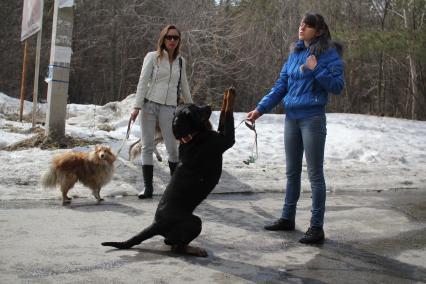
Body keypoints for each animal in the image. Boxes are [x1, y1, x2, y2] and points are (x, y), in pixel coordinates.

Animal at [102, 87, 236, 256]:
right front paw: (231, 93)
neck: (191, 137)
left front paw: (226, 94)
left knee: (173, 244)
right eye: (196, 110)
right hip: (194, 221)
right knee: (176, 246)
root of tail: (156, 224)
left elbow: (224, 114)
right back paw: (195, 250)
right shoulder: (226, 140)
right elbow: (227, 112)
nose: (209, 106)